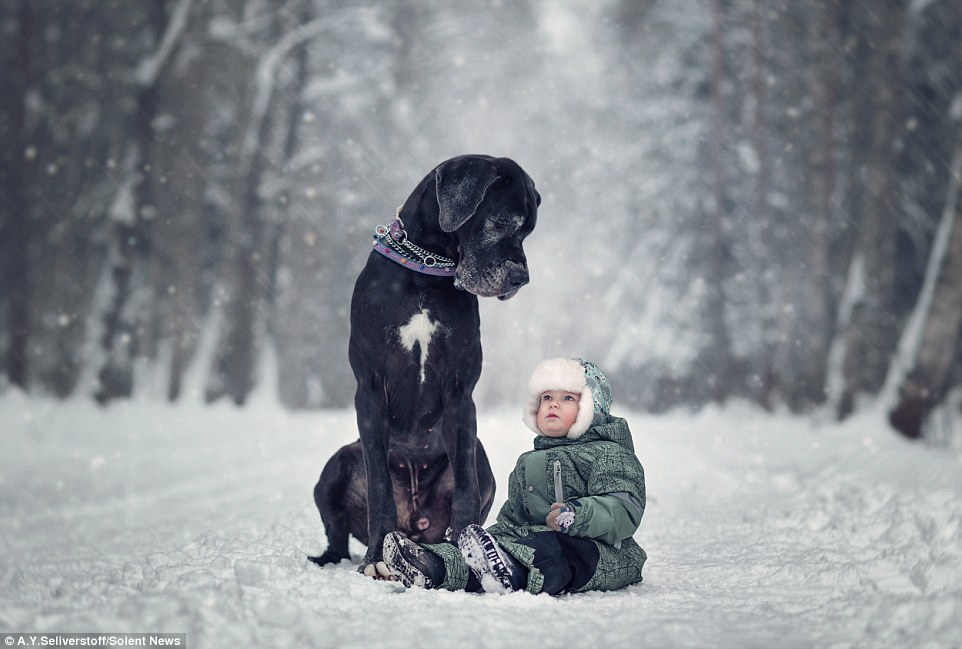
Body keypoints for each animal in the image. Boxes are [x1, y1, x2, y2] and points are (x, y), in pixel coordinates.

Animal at [314, 156, 540, 572]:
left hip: (482, 461)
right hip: (336, 466)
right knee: (337, 536)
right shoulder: (369, 389)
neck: (425, 270)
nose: (521, 277)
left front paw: (468, 550)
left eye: (528, 231)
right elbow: (379, 489)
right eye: (501, 221)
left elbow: (466, 484)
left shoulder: (460, 392)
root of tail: (414, 523)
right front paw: (377, 555)